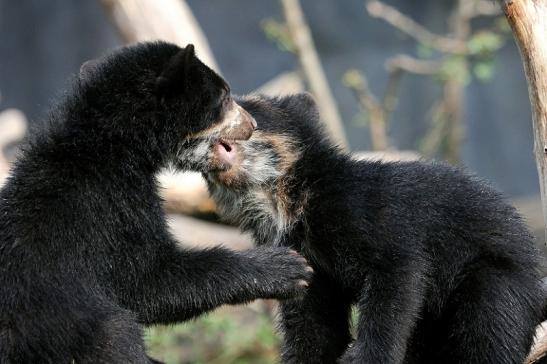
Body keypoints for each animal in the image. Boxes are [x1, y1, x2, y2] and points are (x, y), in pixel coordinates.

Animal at [0, 43, 312, 364]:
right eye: (224, 97)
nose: (251, 124)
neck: (110, 144)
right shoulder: (113, 206)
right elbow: (146, 279)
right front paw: (286, 268)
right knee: (116, 334)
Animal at [203, 94, 544, 364]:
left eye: (245, 111)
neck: (288, 201)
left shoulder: (367, 217)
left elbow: (396, 281)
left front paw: (365, 357)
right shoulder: (305, 260)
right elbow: (313, 326)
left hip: (496, 280)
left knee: (489, 331)